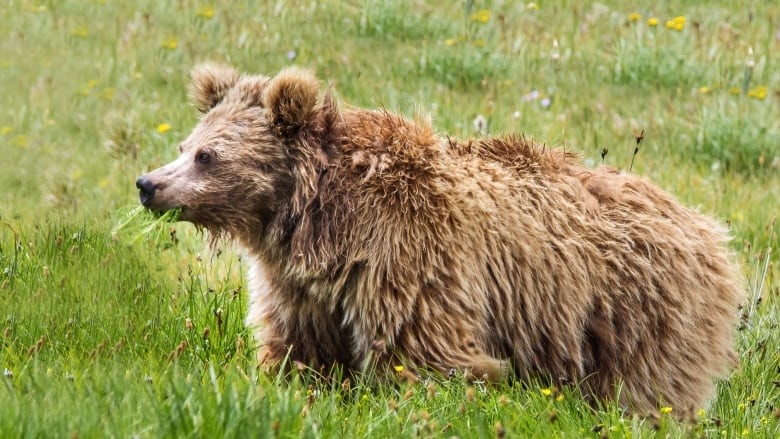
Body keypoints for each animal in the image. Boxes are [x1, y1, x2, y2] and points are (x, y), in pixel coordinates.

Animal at [137, 64, 748, 416]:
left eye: (207, 156)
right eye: (186, 144)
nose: (148, 185)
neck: (316, 218)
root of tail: (707, 227)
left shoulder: (406, 252)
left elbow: (426, 351)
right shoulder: (301, 283)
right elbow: (298, 347)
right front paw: (280, 383)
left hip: (639, 308)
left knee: (647, 387)